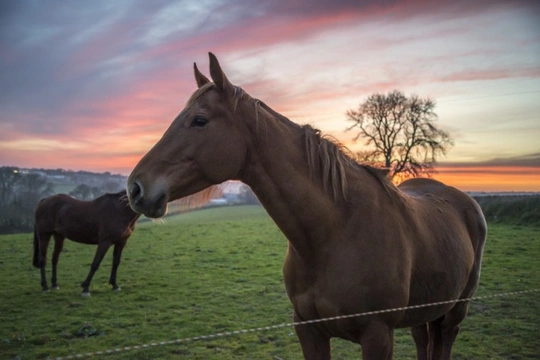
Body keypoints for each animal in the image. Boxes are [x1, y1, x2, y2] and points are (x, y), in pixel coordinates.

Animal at [125, 53, 486, 360]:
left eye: (199, 120)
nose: (135, 187)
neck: (336, 232)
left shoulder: (378, 335)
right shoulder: (308, 331)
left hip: (455, 312)